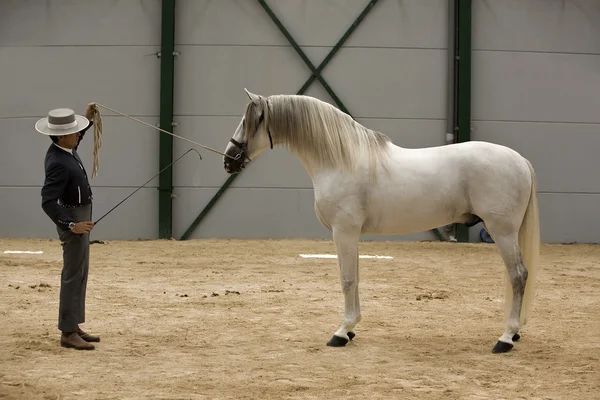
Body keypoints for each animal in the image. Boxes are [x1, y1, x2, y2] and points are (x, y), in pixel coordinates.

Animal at [223, 88, 540, 354]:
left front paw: (341, 332)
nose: (228, 160)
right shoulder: (350, 235)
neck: (341, 160)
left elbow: (347, 280)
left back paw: (506, 338)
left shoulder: (344, 232)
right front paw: (351, 329)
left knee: (518, 275)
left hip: (502, 231)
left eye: (247, 121)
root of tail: (521, 161)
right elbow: (355, 277)